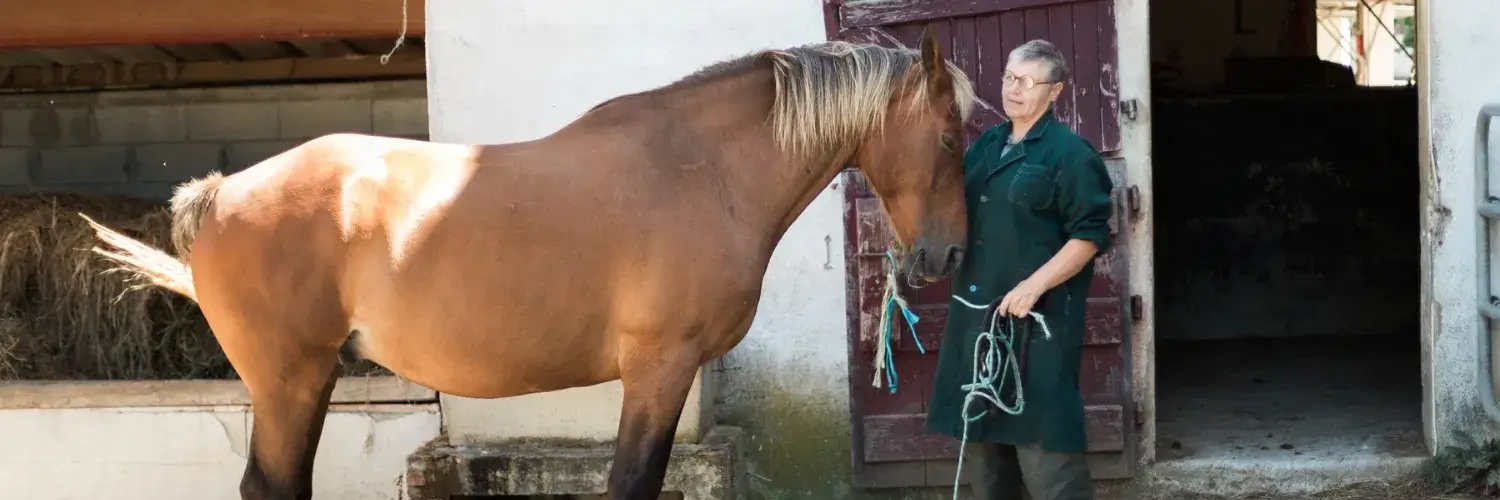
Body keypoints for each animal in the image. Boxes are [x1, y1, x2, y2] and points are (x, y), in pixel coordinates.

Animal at [83, 27, 976, 500]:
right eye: (949, 136)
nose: (948, 254)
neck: (699, 170)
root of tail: (223, 192)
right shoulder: (660, 368)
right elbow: (631, 483)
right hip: (288, 381)